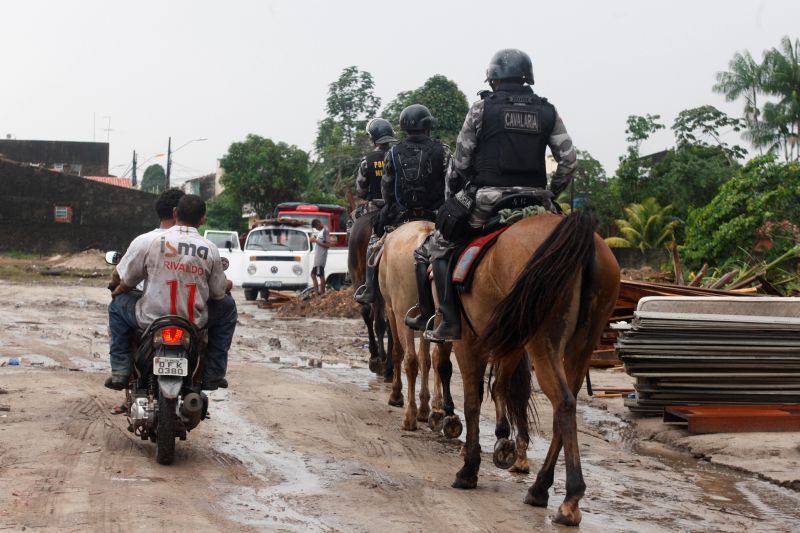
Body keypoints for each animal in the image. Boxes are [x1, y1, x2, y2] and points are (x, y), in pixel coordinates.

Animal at [382, 220, 462, 436]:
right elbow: (426, 359)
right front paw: (426, 409)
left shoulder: (391, 310)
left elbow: (398, 352)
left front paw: (396, 395)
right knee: (436, 358)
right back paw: (438, 412)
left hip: (402, 312)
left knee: (410, 360)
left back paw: (409, 416)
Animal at [444, 210, 620, 524]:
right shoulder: (511, 338)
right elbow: (501, 386)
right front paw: (503, 440)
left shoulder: (467, 339)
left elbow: (473, 401)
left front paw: (469, 469)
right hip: (580, 345)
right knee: (565, 405)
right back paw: (540, 487)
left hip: (543, 338)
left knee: (563, 402)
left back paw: (570, 499)